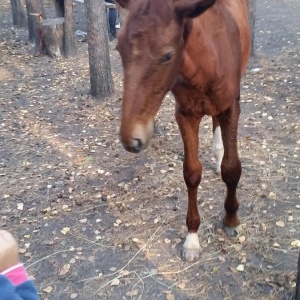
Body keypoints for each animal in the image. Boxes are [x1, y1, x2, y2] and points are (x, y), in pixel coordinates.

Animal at [115, 0, 251, 262]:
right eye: (118, 49)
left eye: (167, 55)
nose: (131, 138)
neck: (208, 59)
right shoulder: (186, 114)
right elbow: (191, 173)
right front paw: (192, 238)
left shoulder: (231, 107)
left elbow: (232, 169)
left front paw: (231, 220)